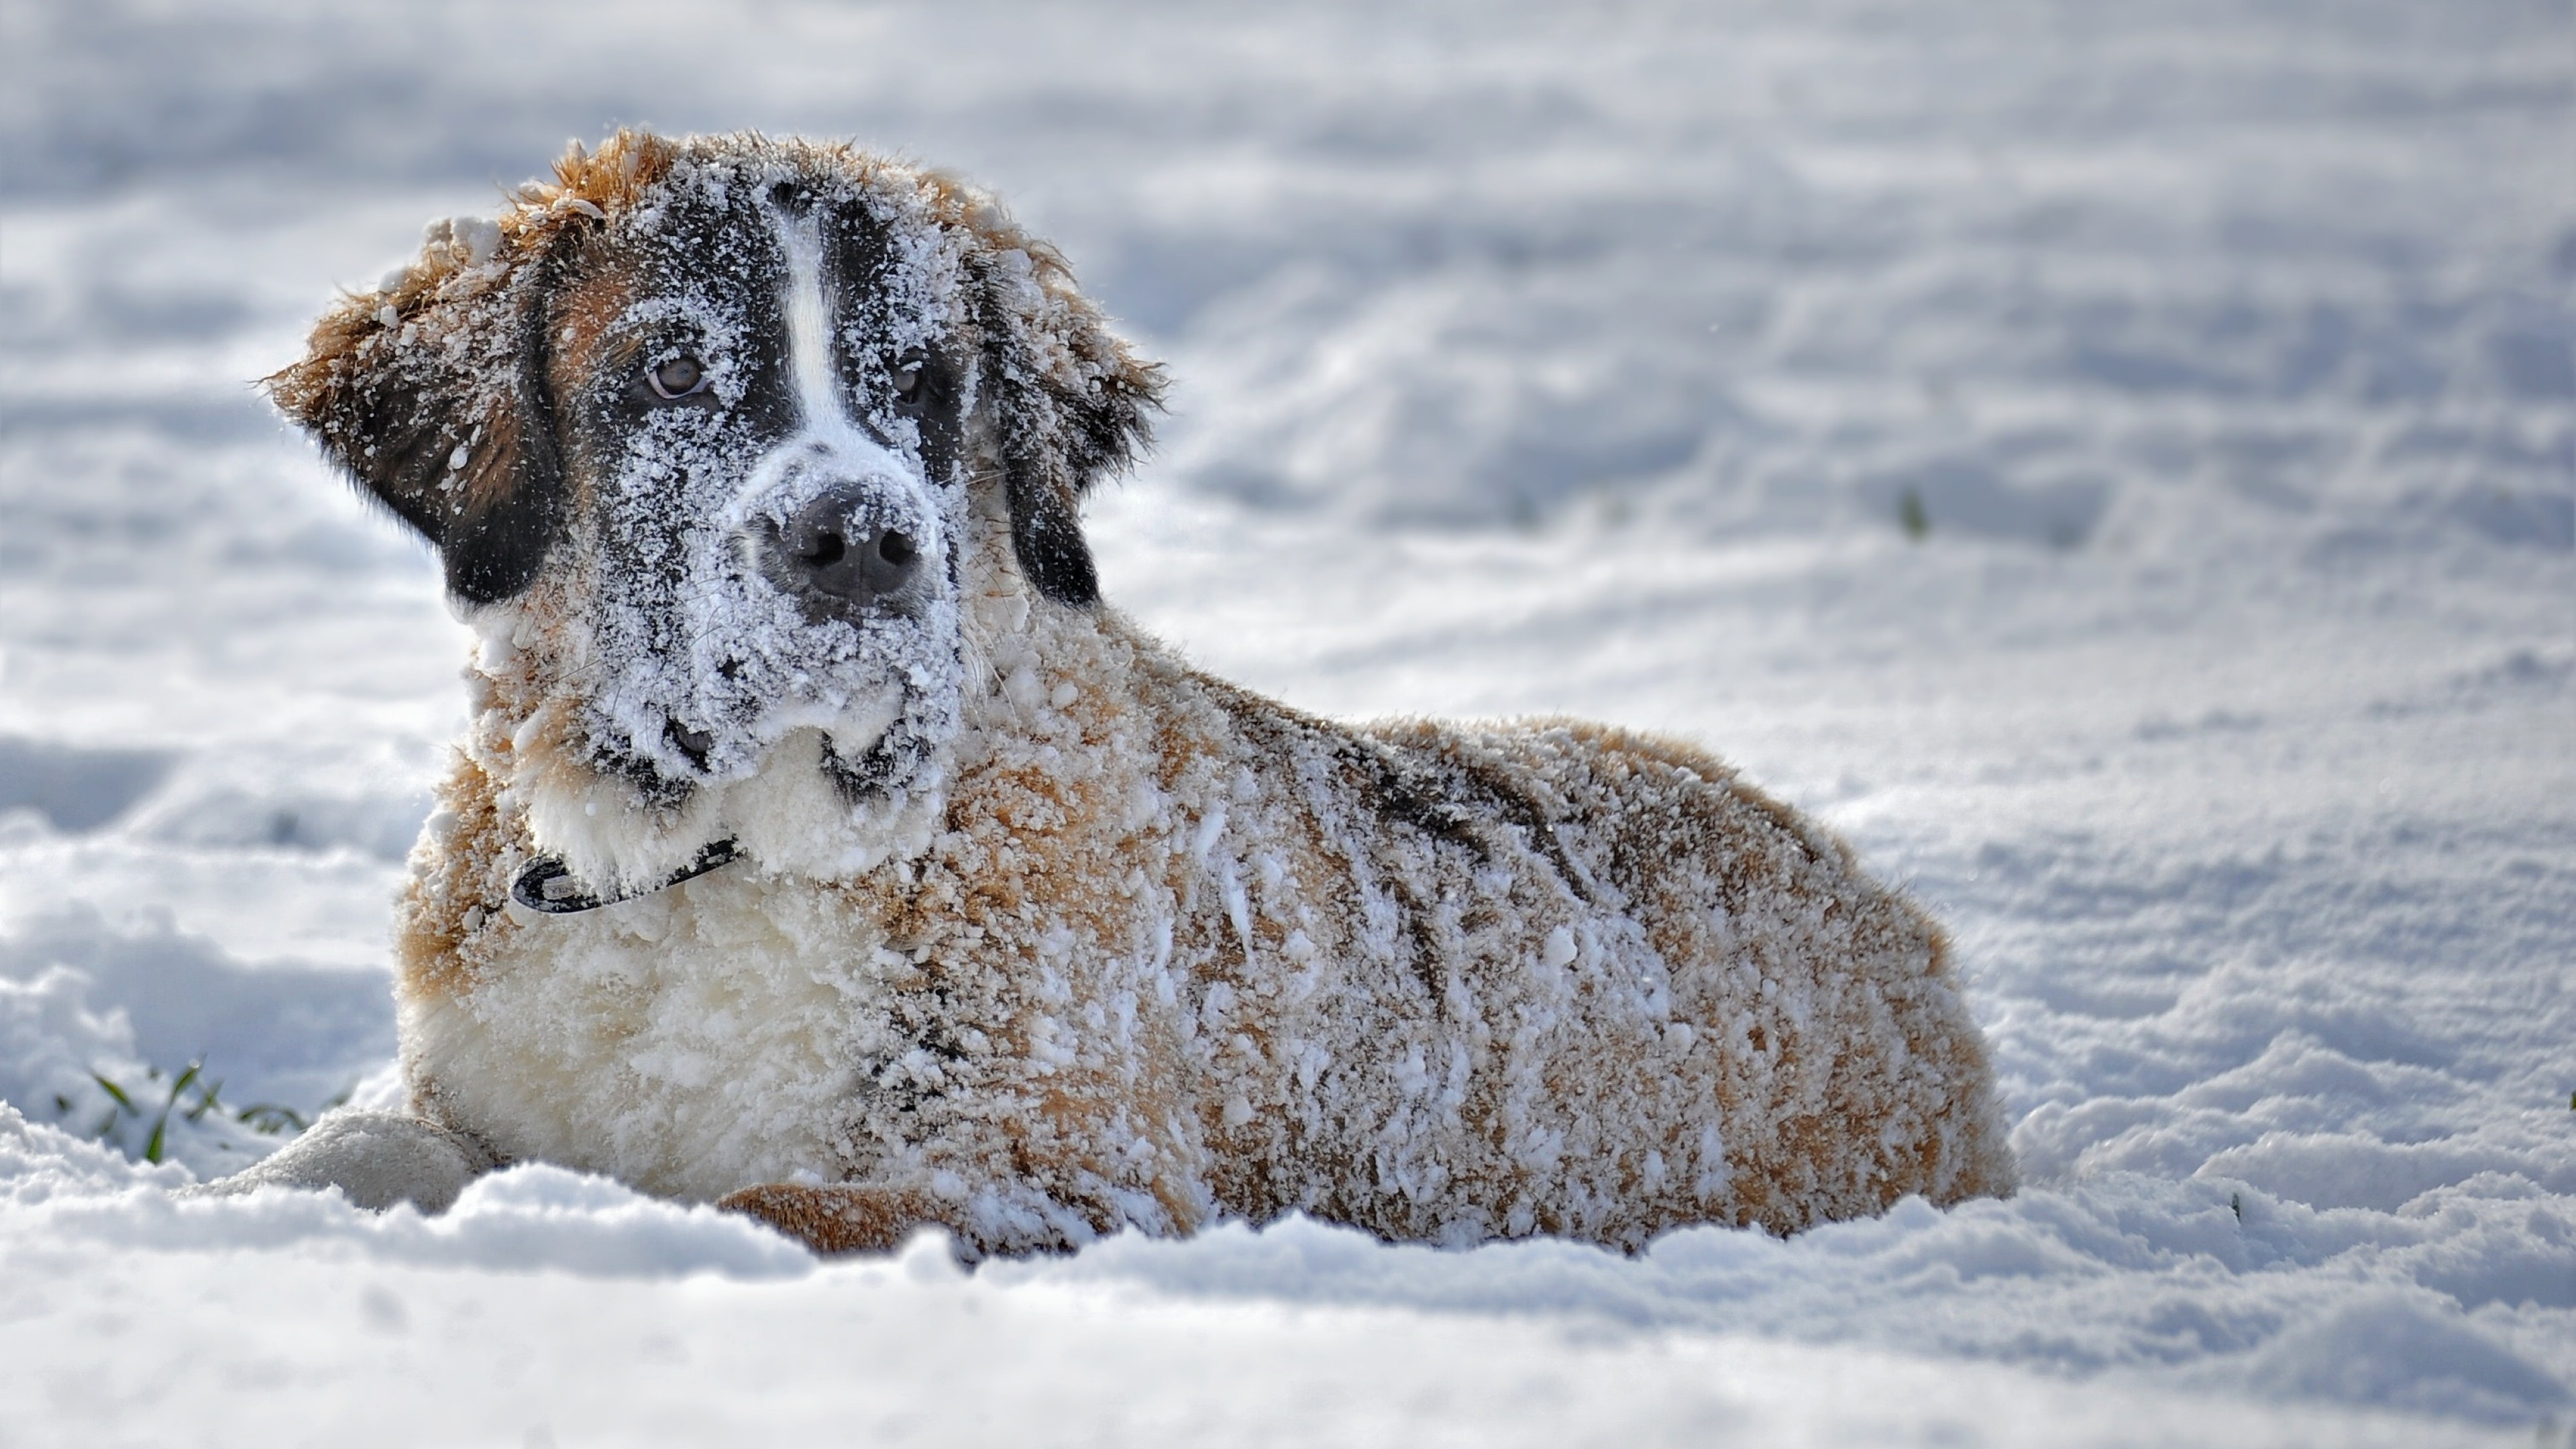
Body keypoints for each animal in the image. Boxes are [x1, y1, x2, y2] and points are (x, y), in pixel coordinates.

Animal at [216, 129, 2009, 1248]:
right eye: (668, 371)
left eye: (926, 383)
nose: (860, 541)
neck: (703, 863)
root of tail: (1881, 909)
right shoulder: (468, 1079)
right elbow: (355, 1146)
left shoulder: (1062, 1182)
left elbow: (763, 1204)